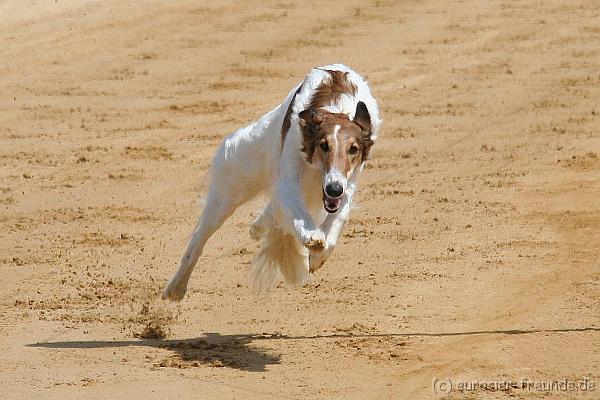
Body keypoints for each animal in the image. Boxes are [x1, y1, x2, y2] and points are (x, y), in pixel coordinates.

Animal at [162, 63, 382, 300]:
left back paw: (258, 227)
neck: (337, 108)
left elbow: (336, 220)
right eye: (324, 145)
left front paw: (316, 256)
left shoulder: (347, 183)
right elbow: (298, 211)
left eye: (353, 149)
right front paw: (312, 236)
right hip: (236, 181)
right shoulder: (290, 176)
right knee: (200, 236)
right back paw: (176, 287)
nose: (333, 190)